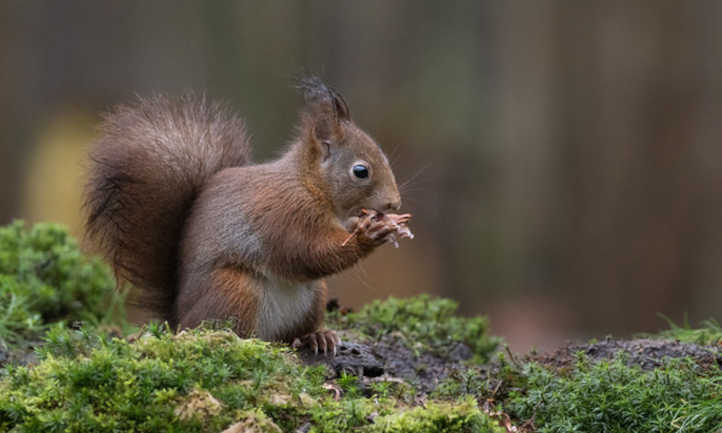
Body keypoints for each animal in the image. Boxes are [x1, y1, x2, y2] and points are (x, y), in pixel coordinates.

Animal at [83, 78, 410, 354]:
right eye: (361, 171)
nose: (394, 203)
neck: (310, 185)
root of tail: (179, 318)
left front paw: (367, 225)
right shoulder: (286, 216)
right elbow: (310, 252)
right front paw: (368, 235)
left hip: (314, 296)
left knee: (292, 333)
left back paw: (316, 336)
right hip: (234, 289)